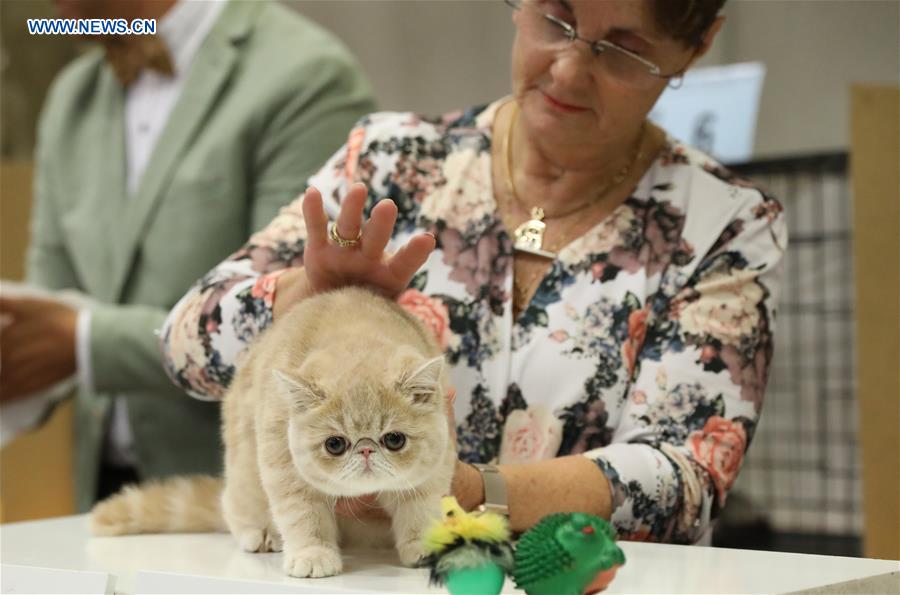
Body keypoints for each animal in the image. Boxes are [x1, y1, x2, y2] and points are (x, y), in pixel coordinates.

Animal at [91, 286, 458, 580]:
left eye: (394, 440)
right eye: (335, 444)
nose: (366, 450)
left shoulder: (433, 471)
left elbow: (421, 511)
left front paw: (426, 547)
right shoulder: (285, 469)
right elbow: (303, 516)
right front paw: (312, 554)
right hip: (245, 479)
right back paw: (263, 534)